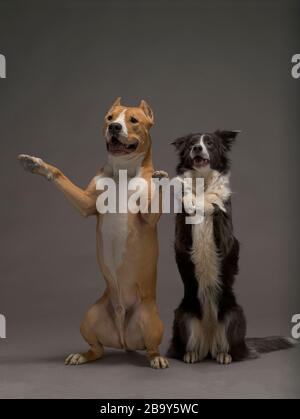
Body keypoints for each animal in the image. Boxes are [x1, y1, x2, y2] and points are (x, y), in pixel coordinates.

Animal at [18, 98, 169, 370]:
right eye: (110, 118)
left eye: (133, 120)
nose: (115, 128)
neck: (122, 172)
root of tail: (124, 339)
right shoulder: (86, 204)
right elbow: (61, 176)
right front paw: (38, 165)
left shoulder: (149, 217)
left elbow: (154, 206)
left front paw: (163, 181)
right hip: (90, 317)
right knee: (97, 348)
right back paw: (83, 355)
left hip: (151, 319)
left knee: (152, 347)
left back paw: (157, 358)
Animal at [168, 131, 296, 364]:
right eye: (192, 144)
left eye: (209, 143)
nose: (197, 148)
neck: (203, 183)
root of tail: (209, 341)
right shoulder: (181, 241)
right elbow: (187, 207)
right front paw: (189, 199)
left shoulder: (227, 242)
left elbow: (218, 206)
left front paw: (215, 201)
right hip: (183, 315)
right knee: (184, 346)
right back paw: (191, 354)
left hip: (234, 315)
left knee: (233, 349)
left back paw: (225, 354)